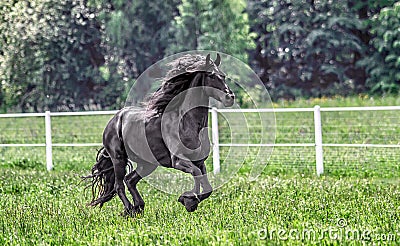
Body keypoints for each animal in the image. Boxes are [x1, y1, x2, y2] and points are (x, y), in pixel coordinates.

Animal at [84, 53, 234, 215]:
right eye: (211, 75)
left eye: (223, 76)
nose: (230, 97)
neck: (186, 123)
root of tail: (114, 120)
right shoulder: (178, 161)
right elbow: (196, 173)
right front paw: (188, 199)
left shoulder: (200, 161)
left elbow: (206, 186)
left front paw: (189, 200)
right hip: (119, 159)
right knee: (119, 185)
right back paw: (129, 210)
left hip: (147, 163)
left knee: (130, 180)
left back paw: (138, 207)